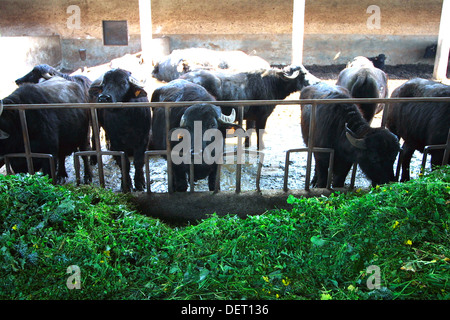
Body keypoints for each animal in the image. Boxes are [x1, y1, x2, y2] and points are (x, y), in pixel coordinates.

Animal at [179, 65, 320, 151]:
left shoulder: (250, 117)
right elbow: (259, 131)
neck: (271, 84)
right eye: (303, 74)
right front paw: (261, 147)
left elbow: (248, 130)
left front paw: (247, 145)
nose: (317, 82)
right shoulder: (262, 116)